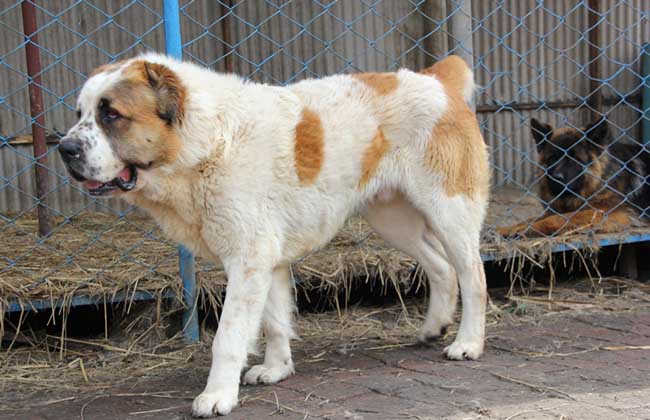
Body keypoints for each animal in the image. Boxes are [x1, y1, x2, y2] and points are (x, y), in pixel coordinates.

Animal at [59, 53, 486, 416]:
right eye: (81, 113)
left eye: (111, 114)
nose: (65, 148)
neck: (207, 142)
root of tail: (436, 78)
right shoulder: (266, 261)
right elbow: (274, 321)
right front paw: (277, 369)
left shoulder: (248, 260)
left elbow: (229, 337)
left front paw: (217, 395)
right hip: (392, 220)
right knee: (441, 267)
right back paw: (433, 328)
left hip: (449, 212)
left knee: (473, 276)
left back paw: (468, 343)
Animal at [498, 116, 644, 238]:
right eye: (553, 158)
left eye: (575, 159)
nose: (556, 178)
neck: (597, 183)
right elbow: (531, 219)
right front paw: (509, 228)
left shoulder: (609, 213)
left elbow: (559, 218)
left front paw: (527, 229)